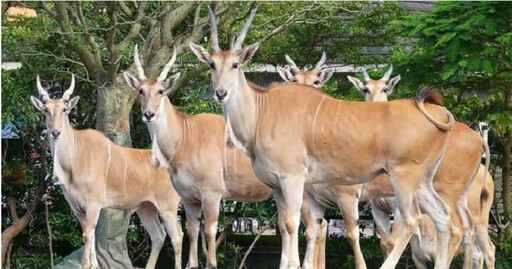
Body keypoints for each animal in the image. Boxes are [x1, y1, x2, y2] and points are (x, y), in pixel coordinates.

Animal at [29, 75, 183, 268]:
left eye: (65, 110)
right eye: (45, 110)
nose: (55, 132)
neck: (75, 158)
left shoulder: (93, 205)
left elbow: (87, 236)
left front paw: (86, 264)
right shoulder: (77, 209)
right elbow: (91, 236)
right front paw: (94, 264)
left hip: (168, 206)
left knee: (177, 236)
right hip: (146, 208)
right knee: (158, 235)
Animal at [124, 45, 274, 266]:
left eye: (161, 91)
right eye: (141, 91)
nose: (148, 114)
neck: (186, 137)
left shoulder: (212, 195)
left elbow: (209, 239)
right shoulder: (189, 198)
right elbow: (192, 238)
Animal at [190, 6, 462, 268]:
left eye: (236, 64)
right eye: (211, 64)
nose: (221, 93)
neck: (261, 111)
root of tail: (438, 112)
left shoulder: (294, 179)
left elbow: (293, 225)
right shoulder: (277, 186)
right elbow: (287, 227)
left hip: (404, 178)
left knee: (412, 220)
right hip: (423, 181)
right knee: (442, 216)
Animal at [348, 69, 496, 268]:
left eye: (386, 89)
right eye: (365, 89)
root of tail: (479, 141)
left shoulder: (399, 207)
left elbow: (393, 241)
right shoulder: (378, 209)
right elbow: (384, 242)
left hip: (470, 212)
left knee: (478, 243)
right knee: (471, 240)